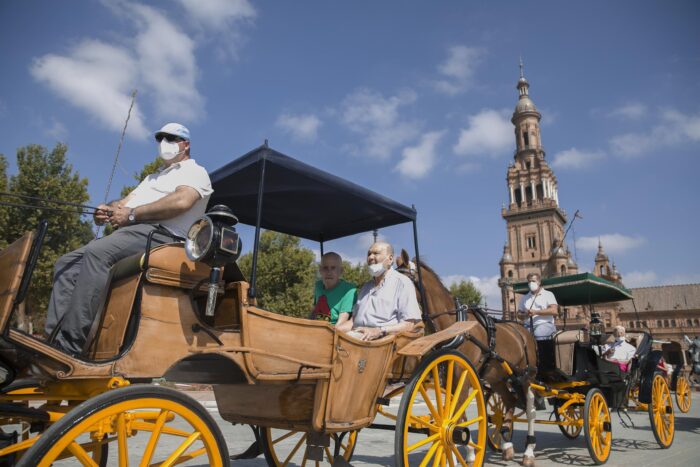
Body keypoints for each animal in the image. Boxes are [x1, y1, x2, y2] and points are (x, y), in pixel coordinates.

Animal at [396, 254, 540, 466]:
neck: (454, 325)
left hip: (526, 376)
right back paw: (506, 444)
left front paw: (463, 452)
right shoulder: (453, 379)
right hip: (498, 378)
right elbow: (459, 414)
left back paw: (529, 451)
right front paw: (468, 453)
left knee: (530, 408)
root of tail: (522, 329)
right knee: (510, 400)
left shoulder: (463, 378)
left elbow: (458, 415)